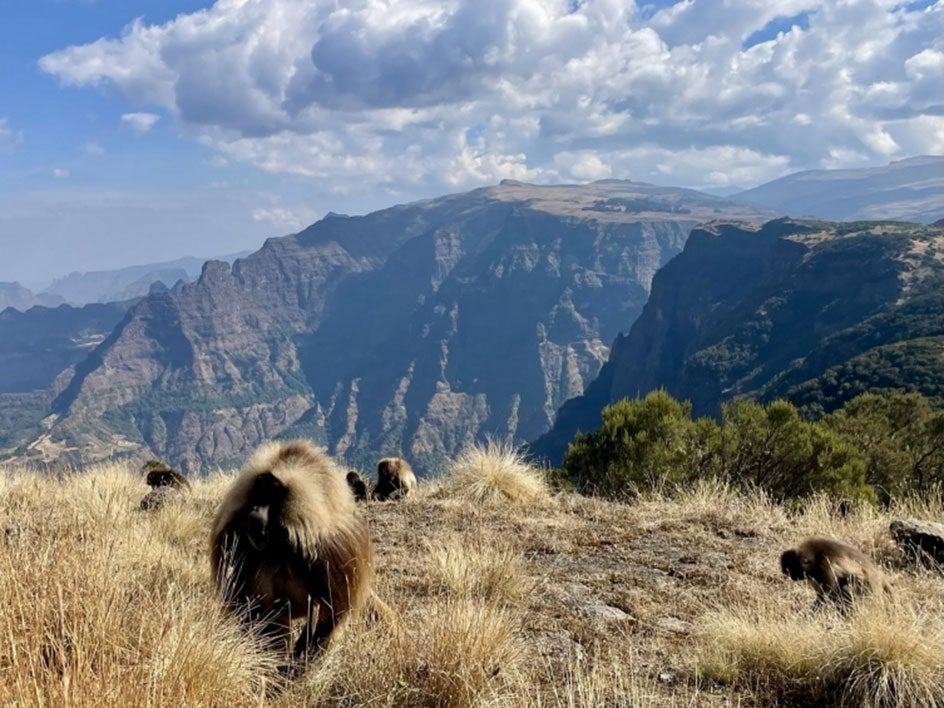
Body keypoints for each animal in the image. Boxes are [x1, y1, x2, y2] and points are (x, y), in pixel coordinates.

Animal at [212, 442, 374, 660]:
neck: (281, 543)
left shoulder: (329, 555)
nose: (255, 512)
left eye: (274, 494)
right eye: (260, 490)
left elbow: (330, 614)